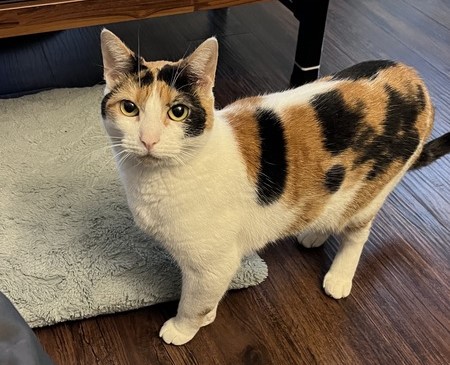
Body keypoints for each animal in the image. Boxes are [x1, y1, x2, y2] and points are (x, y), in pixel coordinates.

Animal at [99, 29, 450, 344]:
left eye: (178, 112)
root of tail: (413, 77)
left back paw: (339, 276)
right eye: (129, 108)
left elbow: (194, 301)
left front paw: (184, 328)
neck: (154, 180)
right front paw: (209, 315)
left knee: (357, 234)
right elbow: (210, 297)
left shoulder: (212, 264)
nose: (148, 140)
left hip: (371, 191)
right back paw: (314, 233)